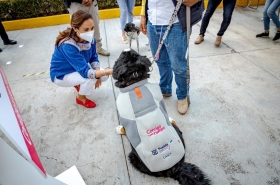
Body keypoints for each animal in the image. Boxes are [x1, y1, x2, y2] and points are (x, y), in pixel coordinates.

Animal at [112, 49, 211, 185]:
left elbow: (124, 128)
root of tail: (176, 169)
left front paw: (118, 129)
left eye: (122, 57)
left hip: (133, 157)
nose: (126, 50)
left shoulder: (125, 118)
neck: (135, 80)